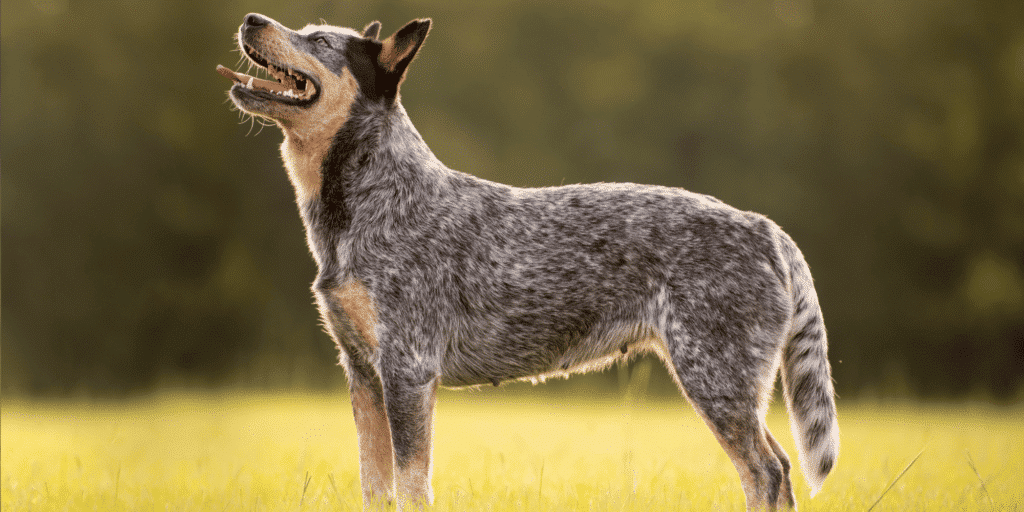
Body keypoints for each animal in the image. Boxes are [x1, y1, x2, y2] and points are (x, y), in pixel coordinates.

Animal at [218, 12, 839, 512]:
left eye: (320, 40)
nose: (251, 17)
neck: (370, 198)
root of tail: (766, 228)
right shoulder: (363, 374)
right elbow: (377, 486)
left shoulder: (408, 371)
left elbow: (412, 484)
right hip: (730, 386)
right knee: (778, 468)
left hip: (715, 378)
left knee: (766, 470)